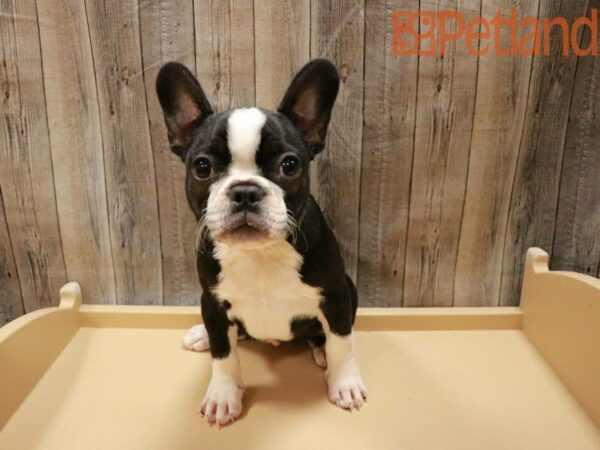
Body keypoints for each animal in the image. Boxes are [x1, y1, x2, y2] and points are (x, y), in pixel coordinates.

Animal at [156, 59, 366, 426]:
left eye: (289, 165)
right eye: (202, 167)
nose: (245, 191)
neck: (259, 252)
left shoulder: (336, 293)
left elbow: (342, 341)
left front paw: (345, 383)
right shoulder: (213, 300)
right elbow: (223, 354)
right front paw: (223, 395)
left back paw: (320, 349)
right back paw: (202, 334)